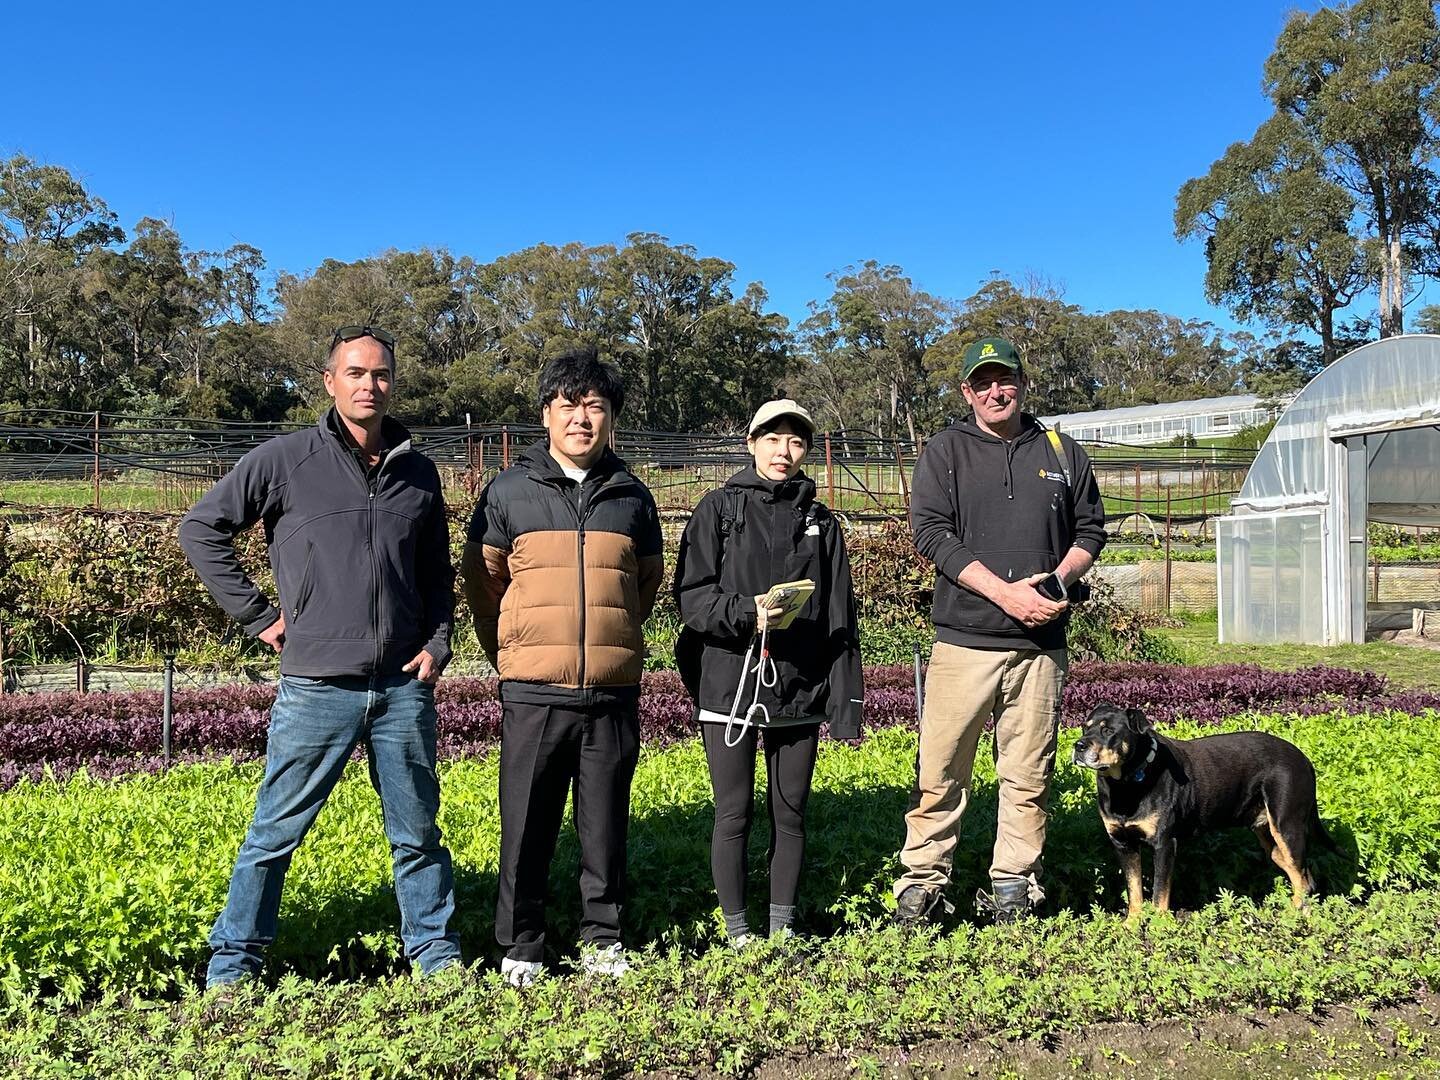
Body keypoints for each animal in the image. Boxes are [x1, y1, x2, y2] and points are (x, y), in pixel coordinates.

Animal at [1071, 711, 1336, 921]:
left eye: (1108, 730)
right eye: (1085, 726)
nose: (1078, 746)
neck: (1125, 784)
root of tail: (1304, 759)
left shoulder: (1164, 844)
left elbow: (1159, 892)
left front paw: (1158, 926)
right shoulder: (1123, 843)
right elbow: (1134, 890)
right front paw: (1132, 925)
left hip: (1287, 827)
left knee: (1301, 878)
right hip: (1270, 838)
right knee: (1303, 876)